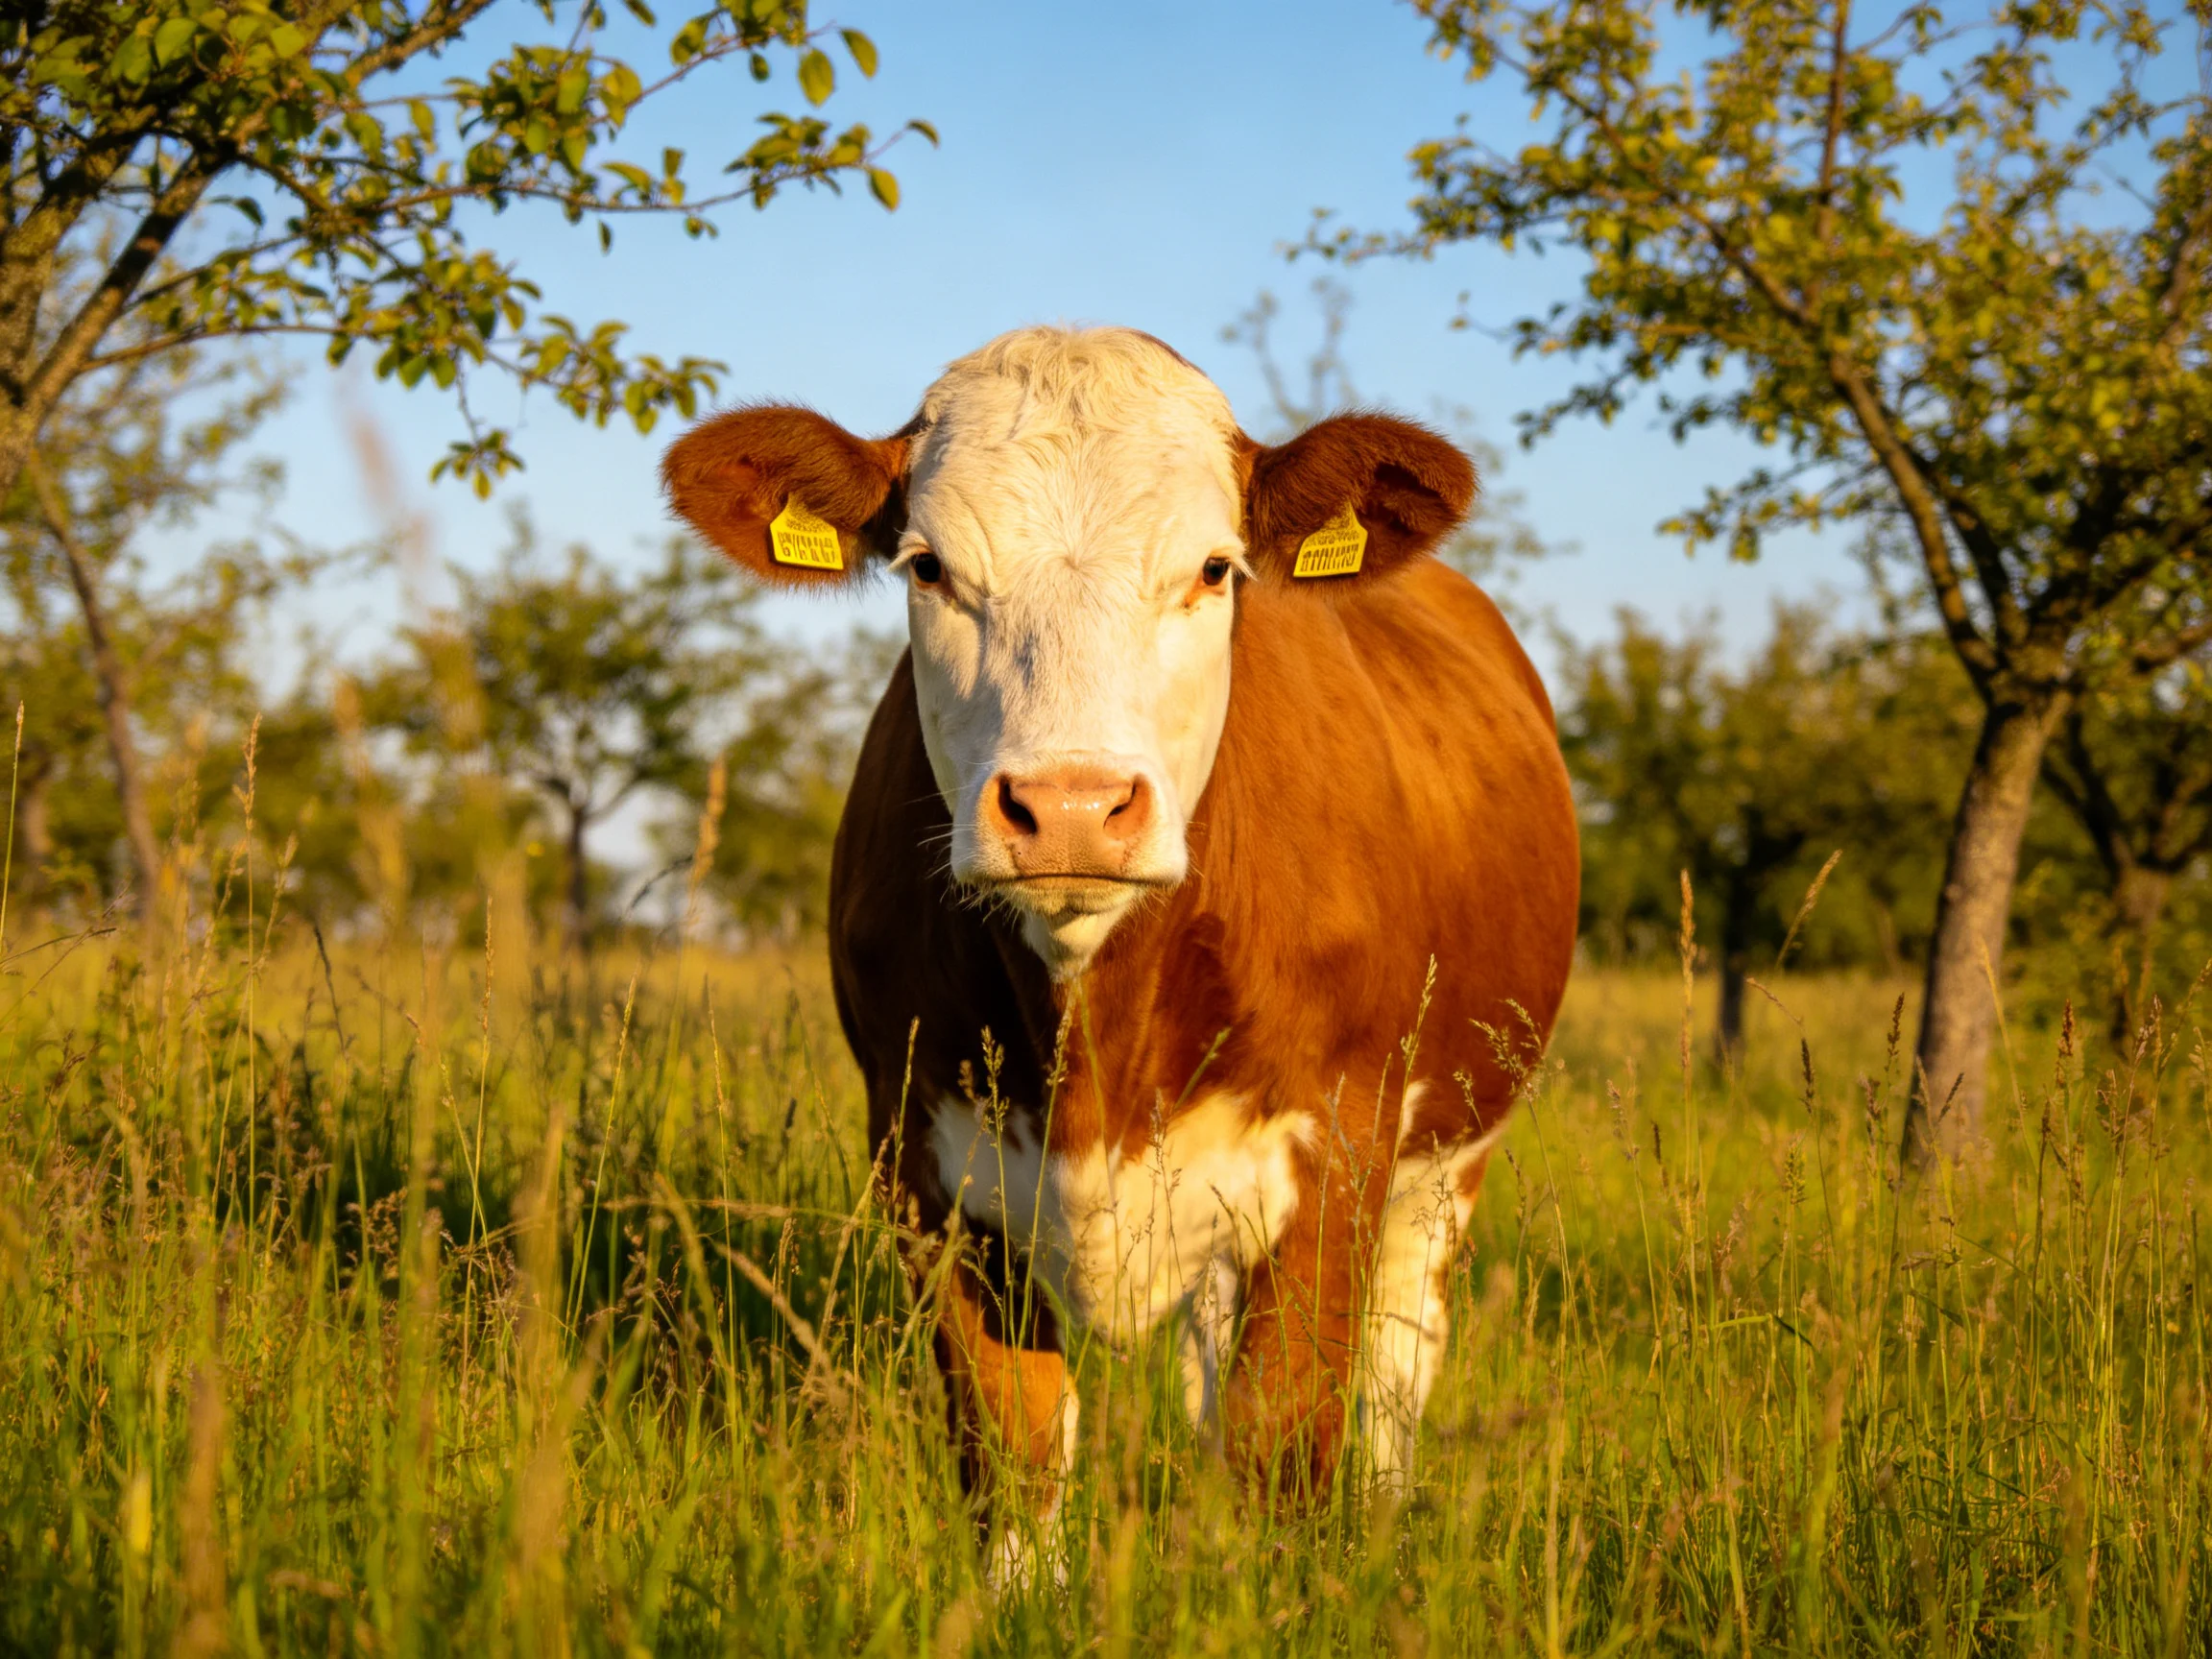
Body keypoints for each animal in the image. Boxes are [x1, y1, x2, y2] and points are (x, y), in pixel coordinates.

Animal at [661, 325, 1577, 1565]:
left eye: (1214, 569)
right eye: (927, 568)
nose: (1072, 807)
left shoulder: (1335, 1153)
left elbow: (1283, 1435)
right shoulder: (923, 1162)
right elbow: (1015, 1445)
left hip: (1450, 1153)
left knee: (1397, 1362)